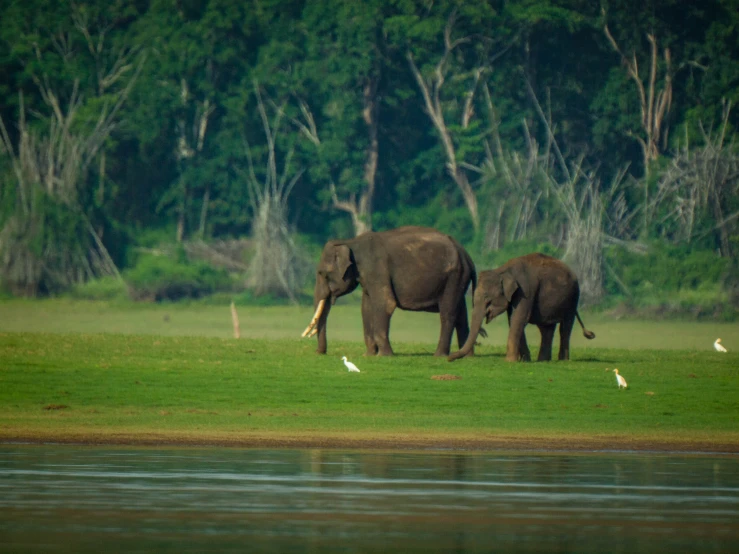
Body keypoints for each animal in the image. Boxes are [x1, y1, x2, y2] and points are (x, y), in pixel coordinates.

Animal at [300, 224, 480, 354]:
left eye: (322, 273)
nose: (319, 352)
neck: (350, 242)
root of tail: (468, 256)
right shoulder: (367, 277)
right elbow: (366, 307)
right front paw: (370, 355)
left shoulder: (376, 269)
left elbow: (385, 303)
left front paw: (384, 355)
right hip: (458, 279)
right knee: (461, 313)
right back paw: (466, 356)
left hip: (453, 276)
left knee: (448, 313)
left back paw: (440, 355)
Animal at [446, 251, 596, 362]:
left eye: (488, 300)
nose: (449, 358)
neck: (503, 270)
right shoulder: (516, 296)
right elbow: (513, 319)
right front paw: (525, 361)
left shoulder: (526, 292)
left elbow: (519, 319)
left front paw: (509, 361)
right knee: (546, 329)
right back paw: (543, 361)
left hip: (573, 298)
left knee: (565, 327)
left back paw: (562, 360)